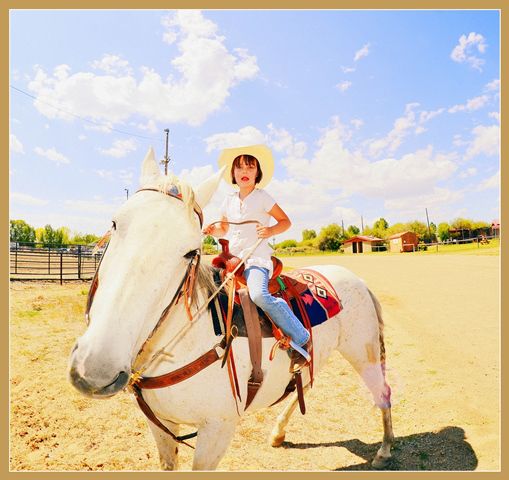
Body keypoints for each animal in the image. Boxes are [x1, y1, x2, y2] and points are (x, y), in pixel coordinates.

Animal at [67, 148, 392, 470]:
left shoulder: (217, 430)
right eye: (115, 224)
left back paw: (384, 449)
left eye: (191, 251)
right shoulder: (161, 425)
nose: (94, 368)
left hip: (363, 352)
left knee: (383, 390)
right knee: (307, 383)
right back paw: (278, 432)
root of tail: (356, 279)